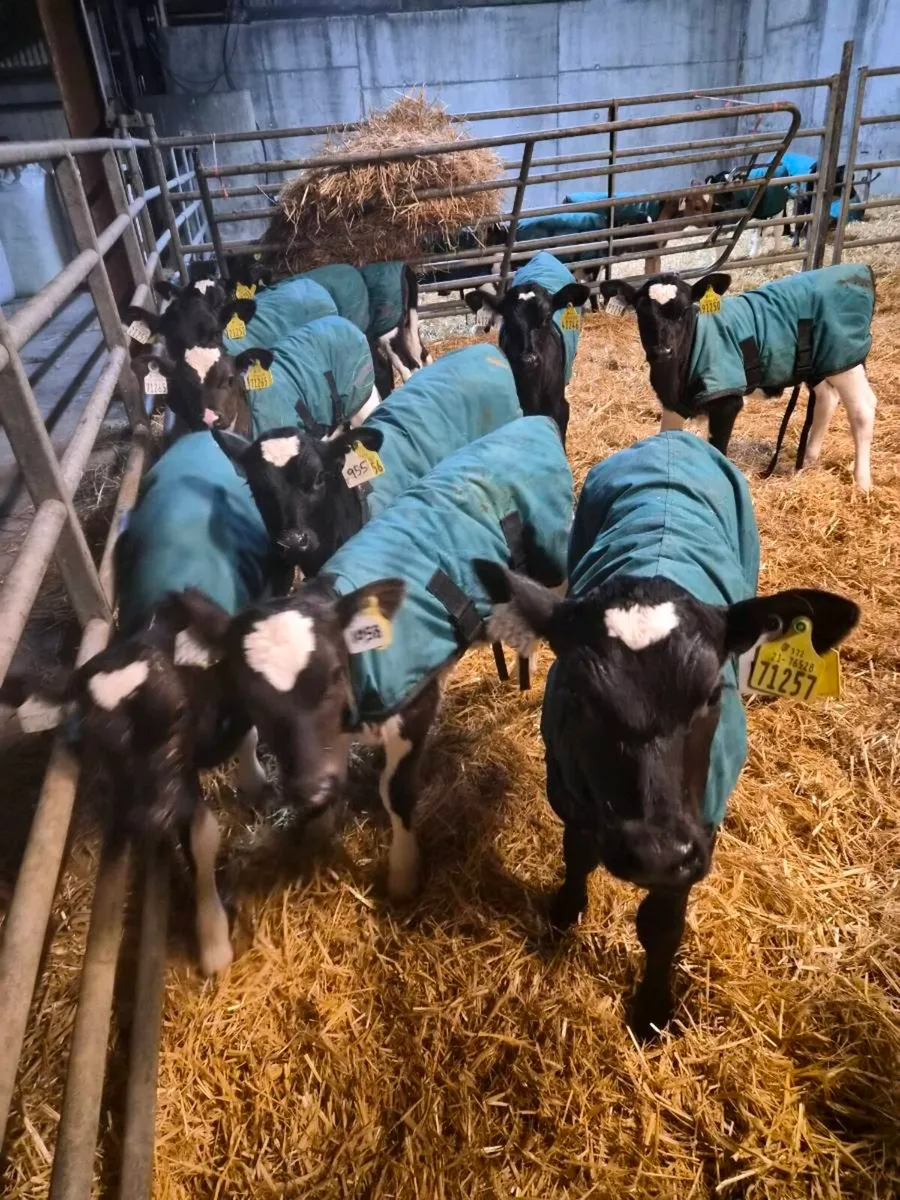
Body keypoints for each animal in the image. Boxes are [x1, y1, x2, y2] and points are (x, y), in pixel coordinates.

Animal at [474, 430, 859, 1038]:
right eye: (580, 694)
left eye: (711, 695)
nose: (655, 852)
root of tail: (674, 436)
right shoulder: (567, 787)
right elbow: (578, 852)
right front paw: (564, 913)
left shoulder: (700, 824)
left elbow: (661, 923)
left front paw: (654, 1007)